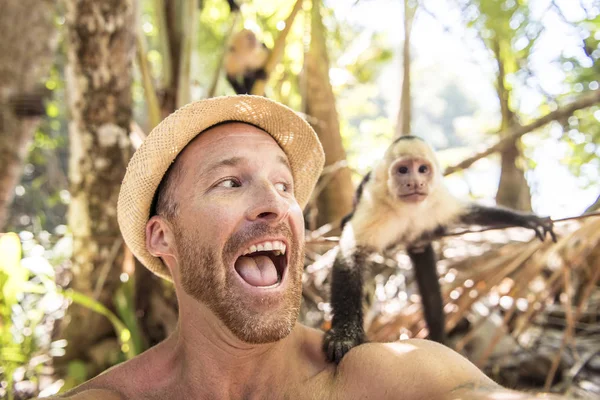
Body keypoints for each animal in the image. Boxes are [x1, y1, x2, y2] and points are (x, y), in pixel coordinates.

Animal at [324, 136, 556, 364]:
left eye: (422, 169)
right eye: (403, 170)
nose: (415, 182)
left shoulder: (437, 201)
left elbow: (471, 213)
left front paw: (526, 220)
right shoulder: (375, 205)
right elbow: (351, 256)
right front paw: (345, 335)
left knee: (431, 291)